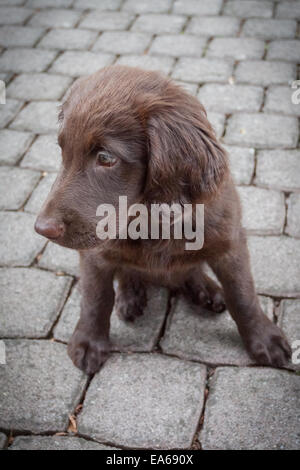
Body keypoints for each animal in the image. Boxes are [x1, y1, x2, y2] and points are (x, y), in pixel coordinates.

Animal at [34, 66, 290, 374]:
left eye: (106, 157)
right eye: (62, 150)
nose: (42, 229)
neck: (149, 220)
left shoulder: (229, 241)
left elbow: (243, 294)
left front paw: (265, 338)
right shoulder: (96, 253)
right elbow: (96, 297)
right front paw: (88, 342)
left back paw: (206, 290)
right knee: (127, 273)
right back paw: (130, 296)